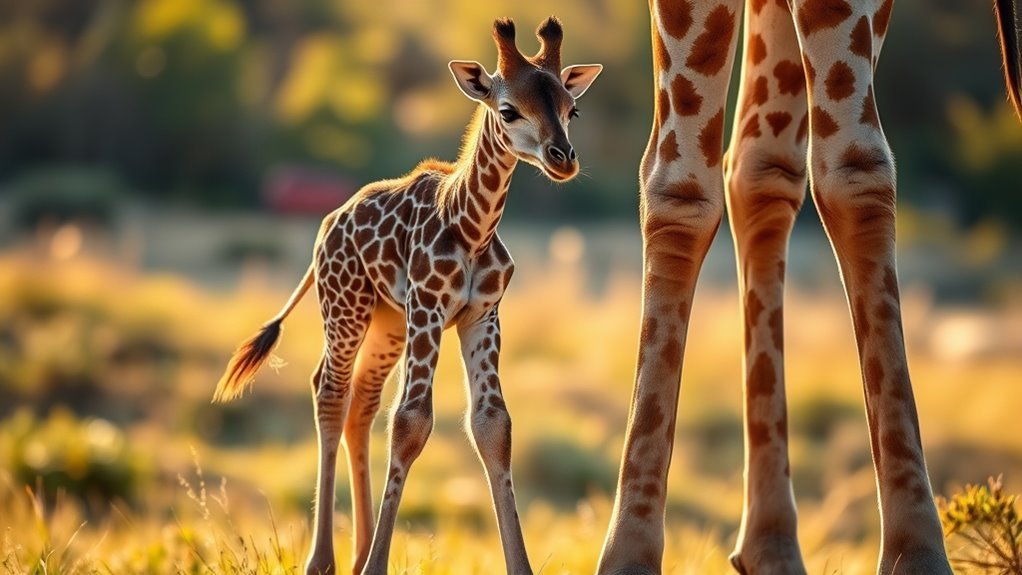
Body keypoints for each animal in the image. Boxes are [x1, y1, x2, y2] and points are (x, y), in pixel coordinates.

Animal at [213, 17, 600, 575]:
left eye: (572, 109)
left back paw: (356, 554)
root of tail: (328, 225)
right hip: (346, 308)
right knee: (330, 390)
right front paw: (377, 564)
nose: (562, 158)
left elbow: (493, 426)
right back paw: (323, 560)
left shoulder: (482, 316)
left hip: (387, 324)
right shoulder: (429, 309)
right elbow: (411, 422)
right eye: (507, 109)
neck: (471, 226)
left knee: (362, 401)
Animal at [597, 1, 1022, 574]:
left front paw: (912, 549)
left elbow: (850, 170)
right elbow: (693, 188)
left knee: (759, 165)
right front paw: (917, 551)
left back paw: (771, 544)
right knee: (709, 174)